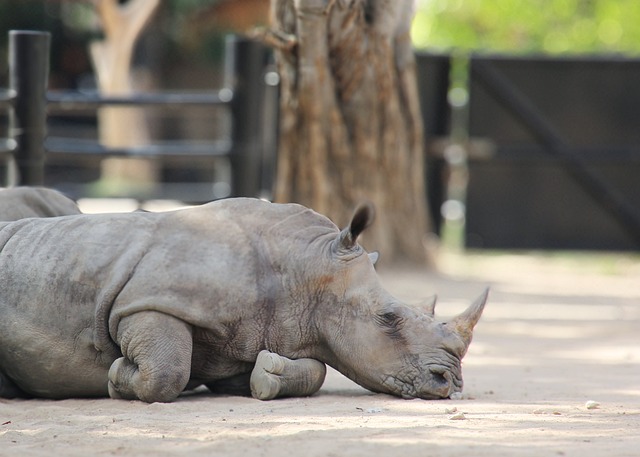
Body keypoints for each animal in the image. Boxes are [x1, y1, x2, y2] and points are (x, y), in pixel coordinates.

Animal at [0, 198, 488, 400]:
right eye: (389, 318)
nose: (449, 384)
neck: (300, 270)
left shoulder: (255, 333)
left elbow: (312, 370)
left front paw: (267, 378)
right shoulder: (145, 302)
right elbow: (167, 370)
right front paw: (118, 375)